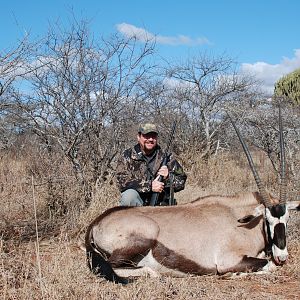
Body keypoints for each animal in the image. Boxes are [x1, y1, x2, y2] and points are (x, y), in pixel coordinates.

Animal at [84, 107, 300, 284]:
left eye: (287, 219)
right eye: (267, 219)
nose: (282, 257)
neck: (239, 220)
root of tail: (96, 223)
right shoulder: (228, 260)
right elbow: (267, 266)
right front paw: (234, 274)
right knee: (115, 266)